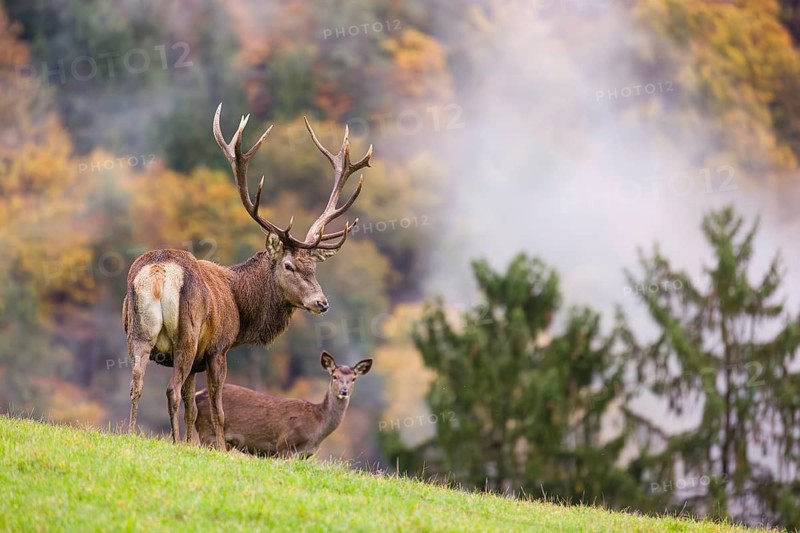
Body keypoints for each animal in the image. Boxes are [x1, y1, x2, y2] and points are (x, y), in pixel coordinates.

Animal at [194, 351, 372, 457]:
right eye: (334, 376)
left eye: (353, 379)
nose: (344, 391)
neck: (317, 428)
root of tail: (197, 395)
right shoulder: (284, 445)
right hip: (208, 432)